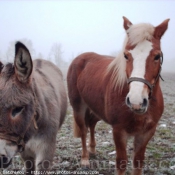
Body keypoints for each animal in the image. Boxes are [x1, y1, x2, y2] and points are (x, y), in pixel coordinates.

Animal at [67, 16, 170, 175]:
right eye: (126, 55)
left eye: (157, 56)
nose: (136, 101)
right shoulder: (119, 131)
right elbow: (121, 163)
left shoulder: (146, 133)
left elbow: (138, 163)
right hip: (78, 106)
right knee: (83, 130)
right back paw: (85, 159)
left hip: (97, 110)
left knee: (91, 124)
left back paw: (92, 150)